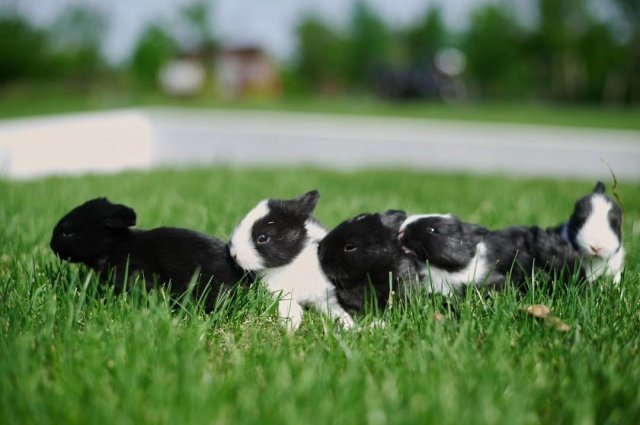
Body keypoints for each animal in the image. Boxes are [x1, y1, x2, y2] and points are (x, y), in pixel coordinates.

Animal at [228, 190, 352, 332]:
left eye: (263, 238)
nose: (233, 254)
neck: (291, 264)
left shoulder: (326, 295)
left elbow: (335, 309)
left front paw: (350, 326)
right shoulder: (280, 294)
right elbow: (290, 306)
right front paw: (291, 327)